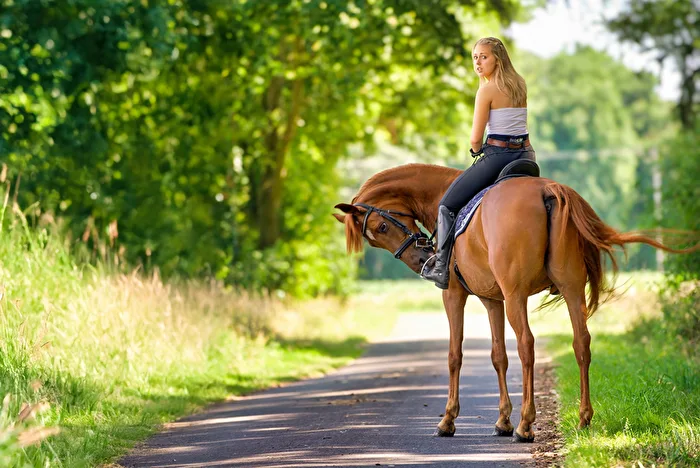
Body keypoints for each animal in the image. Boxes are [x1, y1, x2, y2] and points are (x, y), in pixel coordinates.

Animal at [333, 162, 691, 442]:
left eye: (381, 227)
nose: (421, 259)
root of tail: (548, 190)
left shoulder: (455, 295)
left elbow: (455, 355)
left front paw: (449, 420)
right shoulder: (492, 300)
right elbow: (498, 356)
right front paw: (502, 420)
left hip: (517, 295)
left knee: (527, 345)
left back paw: (526, 425)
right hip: (571, 289)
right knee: (581, 343)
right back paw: (582, 418)